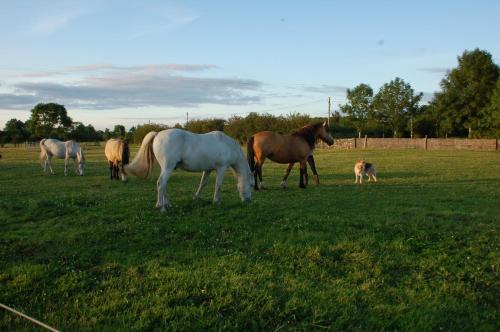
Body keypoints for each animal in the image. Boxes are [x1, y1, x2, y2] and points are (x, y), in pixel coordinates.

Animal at [123, 128, 252, 211]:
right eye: (251, 185)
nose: (248, 201)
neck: (227, 145)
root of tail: (157, 134)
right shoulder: (221, 168)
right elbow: (218, 185)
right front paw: (216, 201)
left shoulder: (208, 169)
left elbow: (203, 184)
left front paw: (196, 198)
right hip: (168, 167)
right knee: (161, 183)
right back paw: (161, 207)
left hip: (166, 168)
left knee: (164, 185)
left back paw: (168, 204)